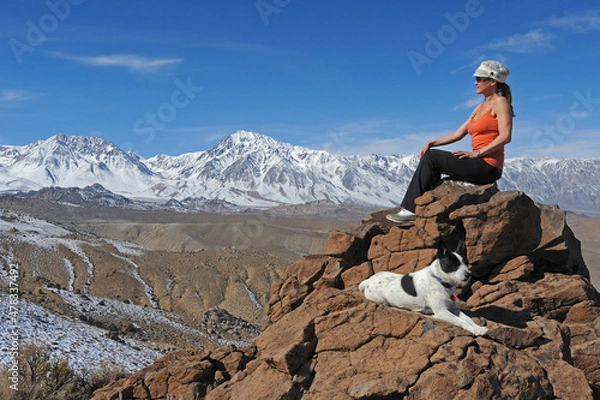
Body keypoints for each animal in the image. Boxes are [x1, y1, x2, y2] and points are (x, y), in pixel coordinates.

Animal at [360, 239, 488, 336]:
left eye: (465, 263)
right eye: (453, 264)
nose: (469, 274)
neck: (439, 280)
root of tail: (368, 280)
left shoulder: (454, 308)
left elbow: (468, 318)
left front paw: (478, 327)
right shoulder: (441, 312)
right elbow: (461, 321)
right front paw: (476, 330)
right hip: (379, 298)